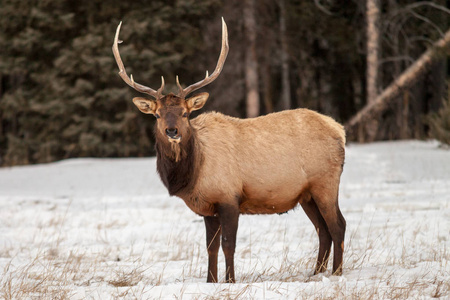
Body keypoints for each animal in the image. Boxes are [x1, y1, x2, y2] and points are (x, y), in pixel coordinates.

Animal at [112, 18, 344, 282]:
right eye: (157, 114)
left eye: (185, 113)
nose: (172, 131)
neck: (193, 173)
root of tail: (340, 130)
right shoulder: (208, 207)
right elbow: (210, 247)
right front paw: (210, 281)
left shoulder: (229, 197)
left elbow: (228, 245)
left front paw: (230, 280)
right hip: (306, 194)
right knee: (323, 230)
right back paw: (316, 273)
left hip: (325, 182)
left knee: (338, 226)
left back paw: (336, 272)